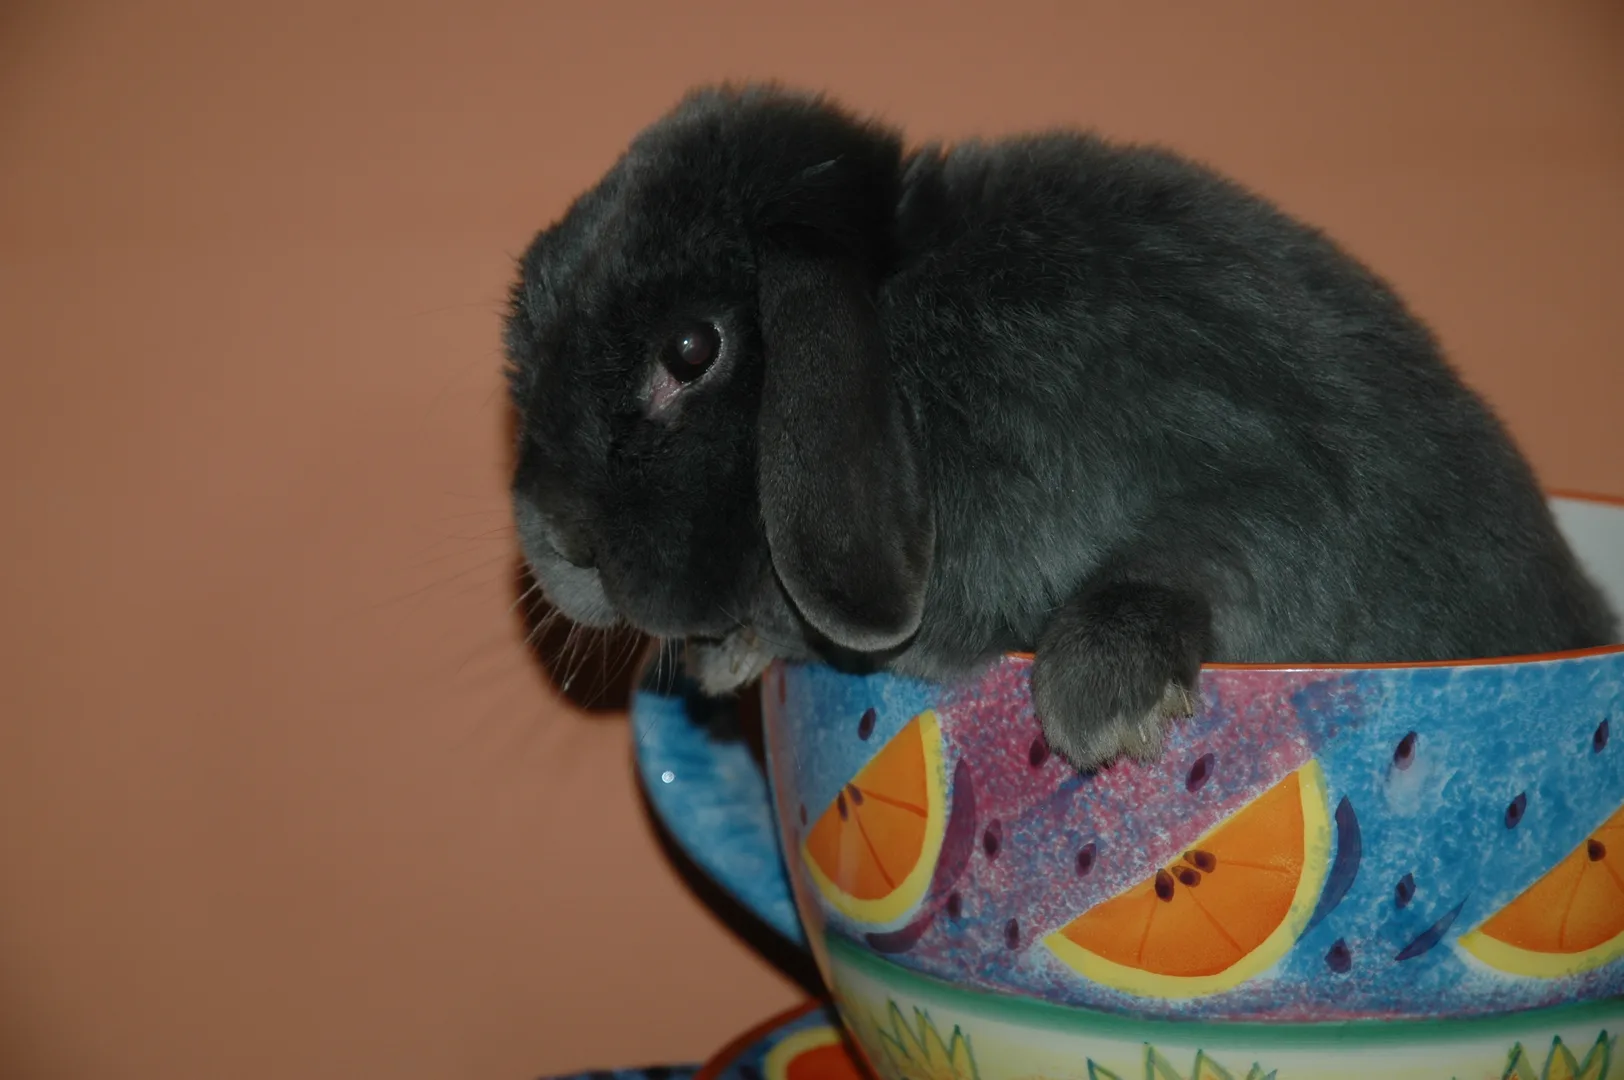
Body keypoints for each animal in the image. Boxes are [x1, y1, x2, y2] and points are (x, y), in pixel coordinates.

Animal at [503, 83, 1619, 772]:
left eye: (692, 351)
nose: (556, 544)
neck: (903, 320)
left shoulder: (1249, 464)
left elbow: (1206, 556)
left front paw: (1104, 702)